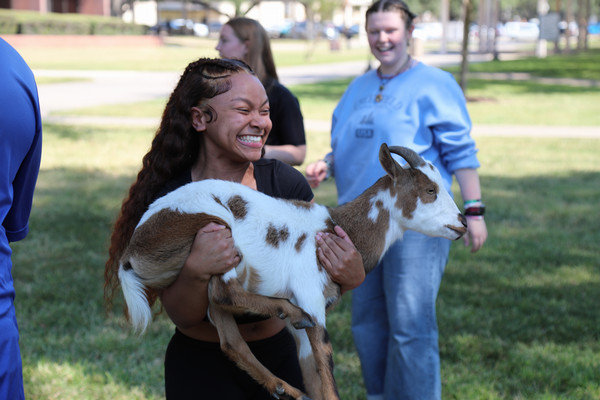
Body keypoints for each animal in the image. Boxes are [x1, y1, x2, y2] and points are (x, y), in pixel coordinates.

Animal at [118, 144, 468, 400]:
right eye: (430, 189)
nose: (463, 222)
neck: (336, 226)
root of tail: (132, 249)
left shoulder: (308, 322)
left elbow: (312, 369)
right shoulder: (311, 296)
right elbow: (326, 360)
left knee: (229, 337)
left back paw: (284, 387)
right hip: (215, 232)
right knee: (225, 292)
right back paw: (287, 314)